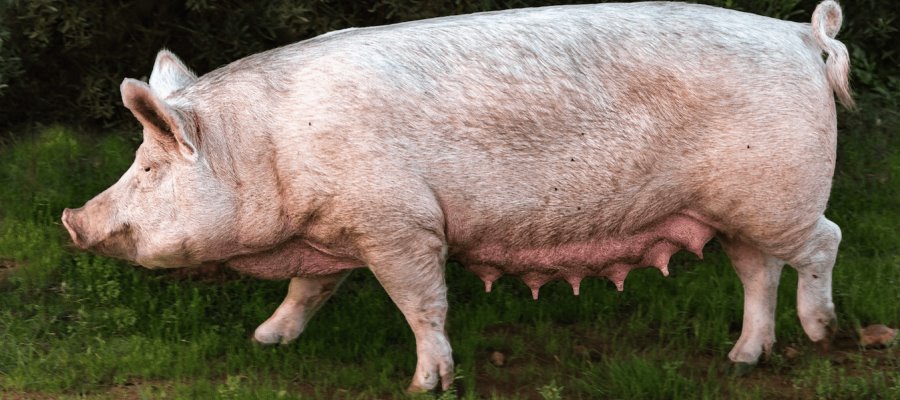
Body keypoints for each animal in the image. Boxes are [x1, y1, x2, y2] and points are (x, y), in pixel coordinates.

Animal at [62, 1, 852, 391]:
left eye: (148, 168)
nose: (72, 220)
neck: (266, 150)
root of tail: (801, 35)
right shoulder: (336, 232)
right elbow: (307, 289)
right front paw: (265, 341)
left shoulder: (400, 224)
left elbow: (422, 304)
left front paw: (428, 385)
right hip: (740, 208)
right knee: (756, 269)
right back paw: (743, 360)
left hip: (778, 193)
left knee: (825, 241)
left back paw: (823, 335)